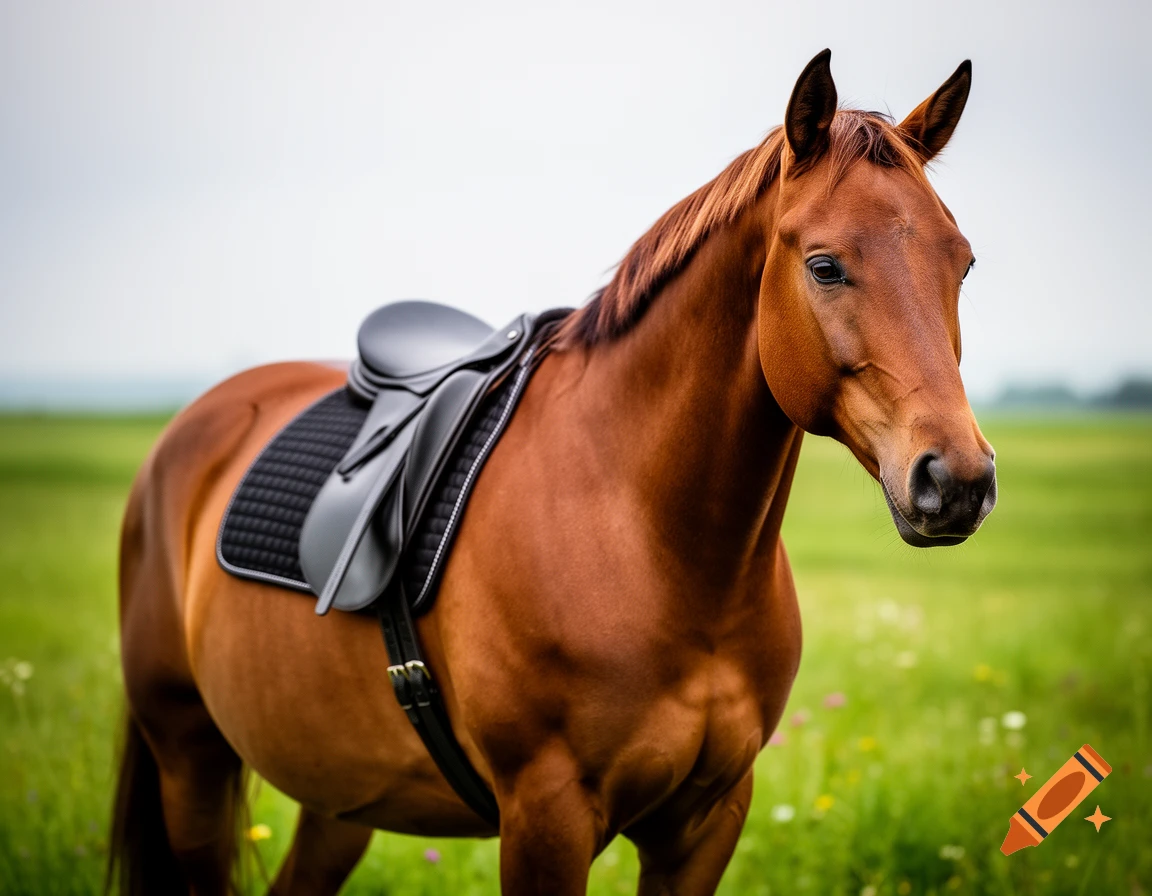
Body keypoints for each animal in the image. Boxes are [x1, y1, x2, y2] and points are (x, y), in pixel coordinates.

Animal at [108, 49, 996, 895]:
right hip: (189, 758)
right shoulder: (546, 819)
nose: (957, 481)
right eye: (824, 266)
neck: (650, 539)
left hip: (341, 792)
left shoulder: (705, 822)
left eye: (963, 263)